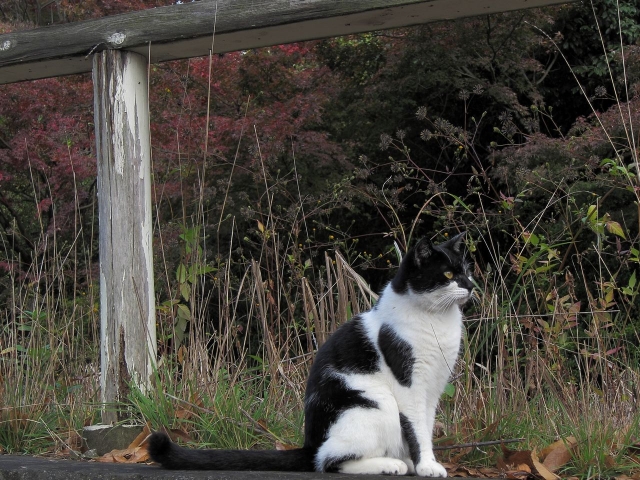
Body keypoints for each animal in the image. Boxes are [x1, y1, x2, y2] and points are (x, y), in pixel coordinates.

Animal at [148, 232, 472, 476]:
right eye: (447, 274)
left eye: (466, 272)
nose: (471, 285)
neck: (438, 321)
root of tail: (308, 443)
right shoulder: (410, 385)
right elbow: (417, 430)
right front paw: (426, 466)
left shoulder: (433, 388)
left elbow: (426, 427)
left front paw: (424, 462)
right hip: (373, 406)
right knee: (328, 461)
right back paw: (391, 464)